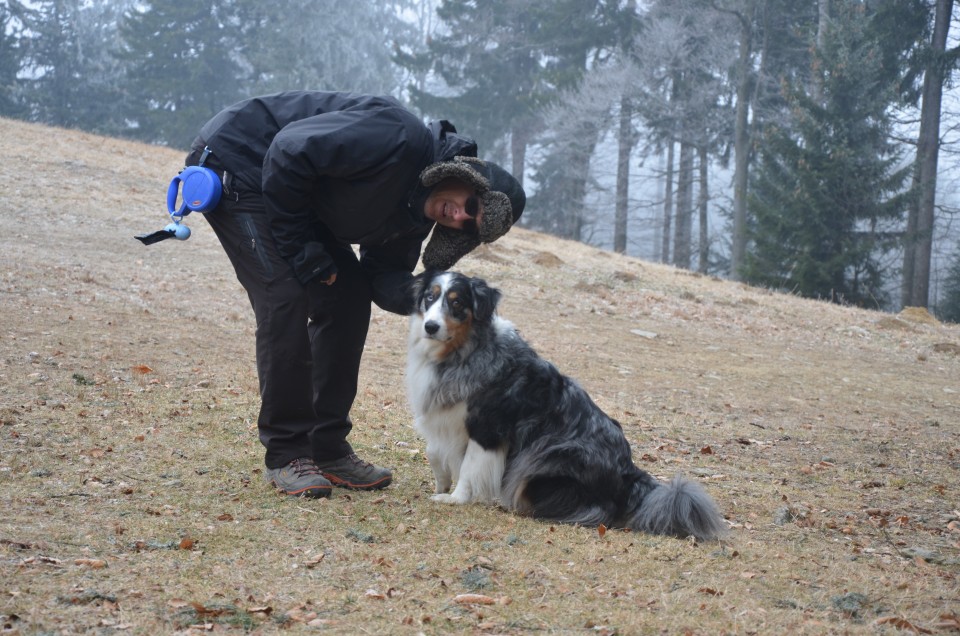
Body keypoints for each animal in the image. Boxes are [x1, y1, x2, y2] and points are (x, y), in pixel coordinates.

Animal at [404, 270, 728, 540]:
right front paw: (441, 483)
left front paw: (455, 498)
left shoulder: (487, 428)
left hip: (547, 459)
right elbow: (435, 451)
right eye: (430, 297)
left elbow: (470, 468)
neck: (463, 350)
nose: (430, 326)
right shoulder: (450, 420)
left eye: (457, 303)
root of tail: (630, 477)